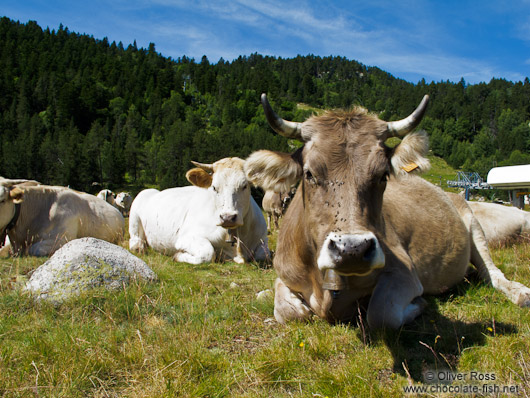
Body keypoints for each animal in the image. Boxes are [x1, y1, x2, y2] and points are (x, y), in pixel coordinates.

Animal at [128, 156, 268, 264]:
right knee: (135, 239)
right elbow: (208, 253)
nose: (227, 217)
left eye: (245, 186)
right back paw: (139, 247)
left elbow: (264, 255)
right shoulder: (186, 237)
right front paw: (178, 255)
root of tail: (156, 191)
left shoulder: (263, 239)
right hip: (136, 211)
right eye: (214, 187)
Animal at [244, 93, 528, 330]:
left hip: (474, 226)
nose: (352, 249)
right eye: (309, 174)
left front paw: (418, 305)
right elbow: (289, 312)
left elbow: (382, 314)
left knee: (492, 274)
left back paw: (520, 293)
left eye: (382, 175)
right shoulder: (284, 275)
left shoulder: (405, 273)